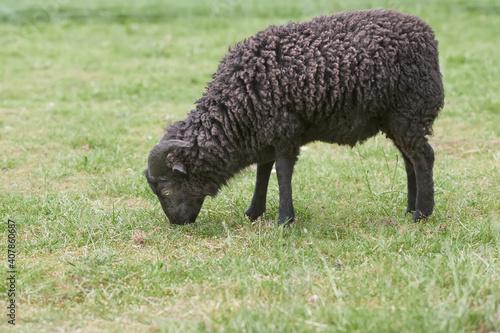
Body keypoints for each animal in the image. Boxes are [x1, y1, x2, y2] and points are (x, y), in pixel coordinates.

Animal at [145, 9, 446, 224]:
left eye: (167, 190)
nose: (177, 223)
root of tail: (429, 36)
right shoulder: (265, 133)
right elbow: (263, 170)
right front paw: (254, 212)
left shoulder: (284, 131)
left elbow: (282, 172)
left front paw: (284, 219)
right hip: (396, 120)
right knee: (409, 160)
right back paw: (409, 208)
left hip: (409, 112)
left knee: (423, 157)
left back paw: (422, 214)